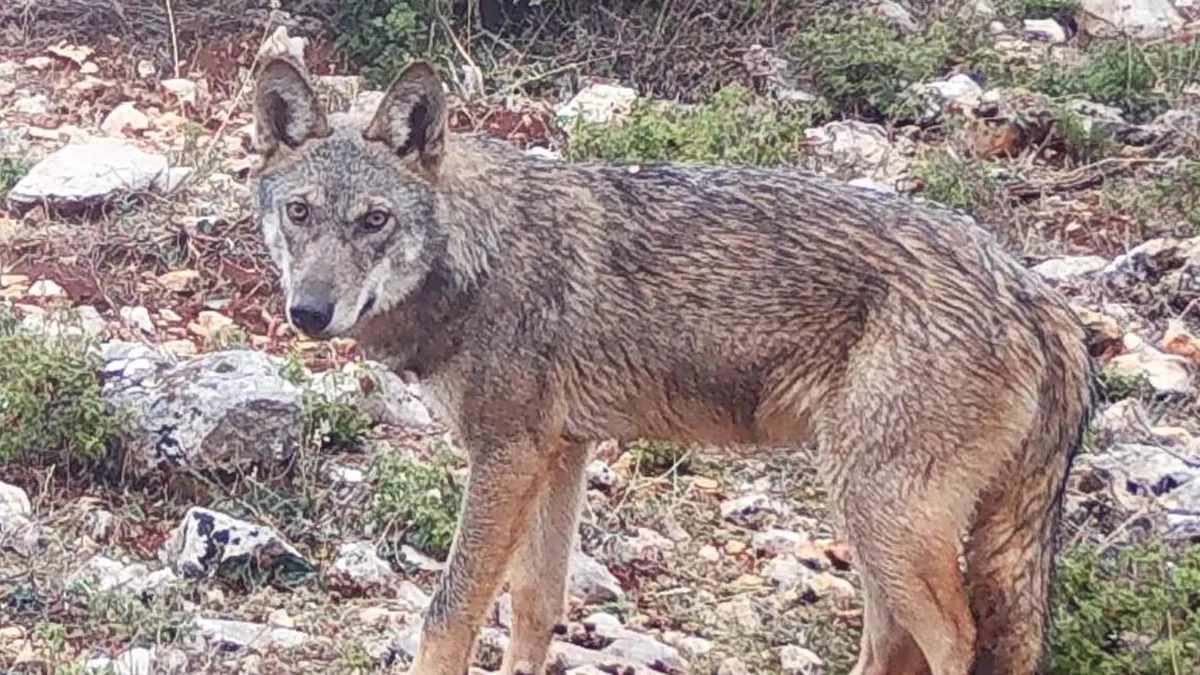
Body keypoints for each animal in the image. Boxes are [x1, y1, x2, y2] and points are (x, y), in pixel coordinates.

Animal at [251, 54, 1095, 675]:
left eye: (374, 221)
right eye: (300, 213)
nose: (310, 311)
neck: (476, 256)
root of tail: (1036, 294)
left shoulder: (506, 455)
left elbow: (449, 613)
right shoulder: (561, 453)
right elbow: (536, 604)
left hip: (883, 513)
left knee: (955, 638)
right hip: (877, 521)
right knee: (897, 647)